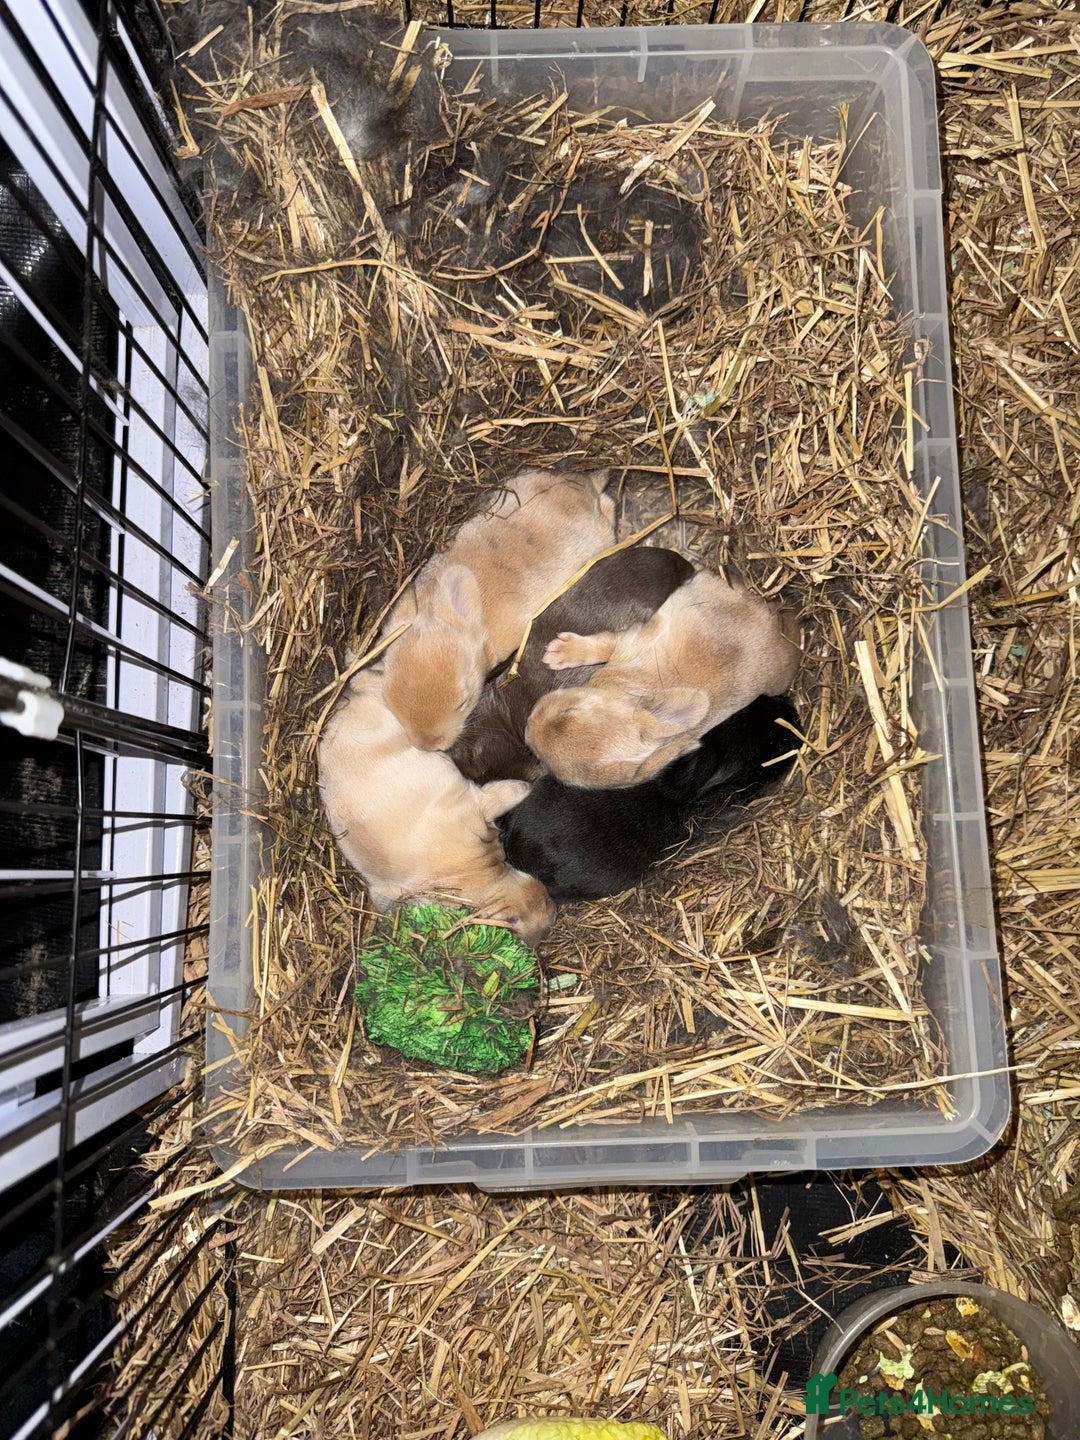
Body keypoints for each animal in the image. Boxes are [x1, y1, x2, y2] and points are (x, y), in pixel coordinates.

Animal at [319, 672, 556, 945]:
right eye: (512, 923)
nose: (552, 914)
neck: (473, 872)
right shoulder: (473, 805)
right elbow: (501, 795)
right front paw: (524, 788)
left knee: (364, 680)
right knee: (365, 681)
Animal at [524, 570, 802, 788]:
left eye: (569, 712)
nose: (528, 726)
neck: (627, 689)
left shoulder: (629, 643)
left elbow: (602, 644)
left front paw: (557, 652)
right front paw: (561, 653)